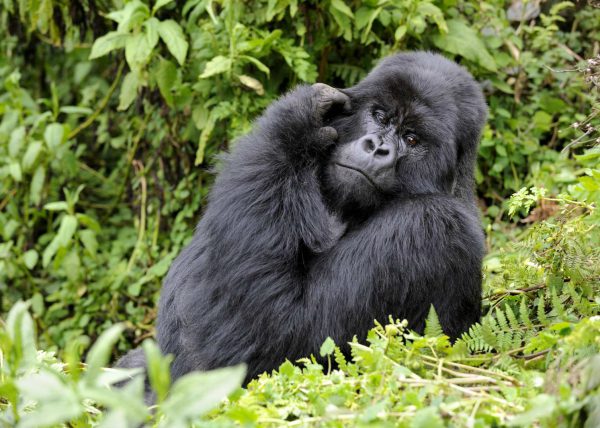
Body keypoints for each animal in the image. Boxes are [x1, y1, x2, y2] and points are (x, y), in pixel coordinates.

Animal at [116, 50, 488, 384]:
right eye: (381, 117)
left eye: (412, 138)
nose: (377, 147)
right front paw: (303, 120)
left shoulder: (432, 224)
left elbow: (281, 337)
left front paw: (293, 124)